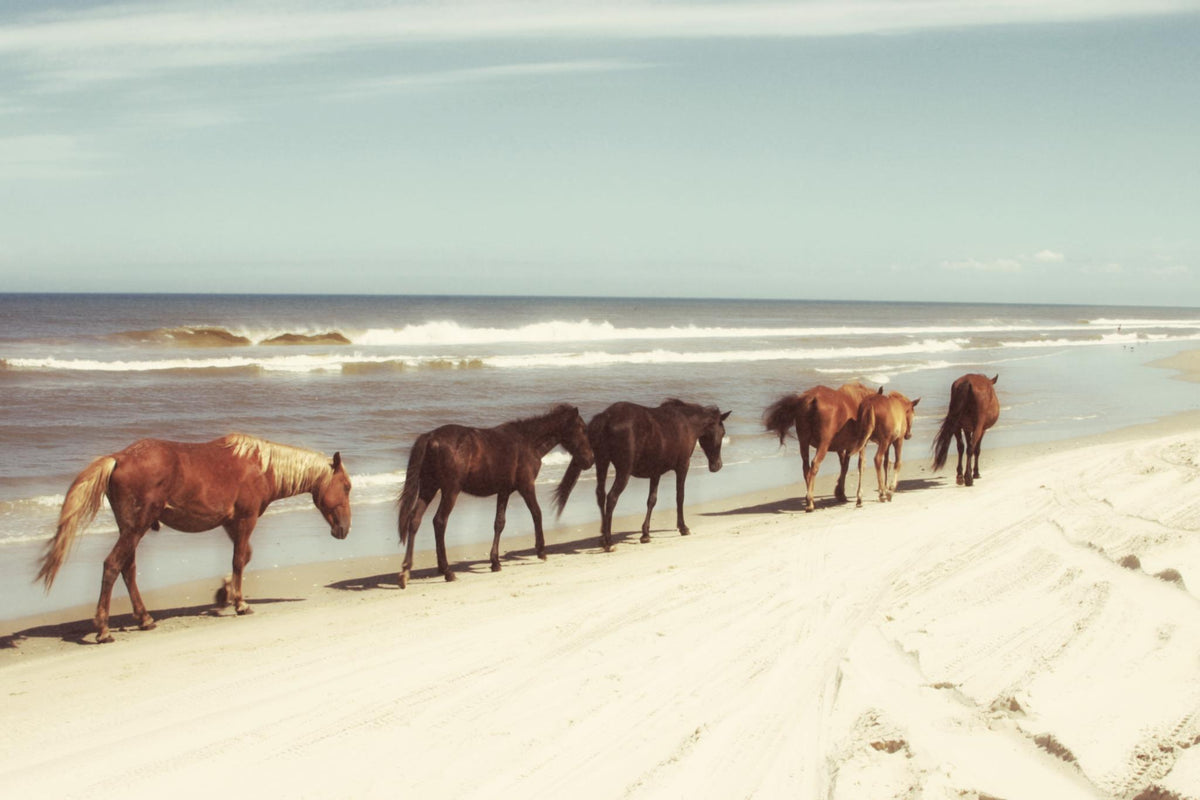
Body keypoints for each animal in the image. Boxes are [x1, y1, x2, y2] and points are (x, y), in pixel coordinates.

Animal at [37, 434, 352, 644]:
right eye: (346, 486)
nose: (345, 529)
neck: (262, 467)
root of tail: (119, 458)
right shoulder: (245, 520)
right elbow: (240, 560)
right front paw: (239, 603)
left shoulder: (231, 523)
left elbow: (243, 558)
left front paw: (224, 593)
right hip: (135, 528)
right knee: (113, 566)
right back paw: (103, 629)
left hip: (130, 529)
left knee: (127, 569)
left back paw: (145, 619)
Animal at [395, 404, 594, 588]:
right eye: (583, 429)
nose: (590, 460)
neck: (527, 441)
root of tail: (431, 437)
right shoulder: (526, 486)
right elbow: (537, 513)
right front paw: (541, 551)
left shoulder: (504, 491)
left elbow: (499, 523)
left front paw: (495, 562)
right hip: (450, 491)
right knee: (439, 522)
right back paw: (447, 571)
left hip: (429, 488)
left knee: (415, 520)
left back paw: (406, 571)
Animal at [553, 400, 731, 552]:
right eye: (722, 433)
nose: (717, 466)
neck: (686, 423)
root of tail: (606, 417)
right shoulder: (682, 467)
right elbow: (680, 497)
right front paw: (683, 527)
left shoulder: (655, 472)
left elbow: (651, 500)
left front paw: (645, 534)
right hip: (623, 471)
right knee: (611, 498)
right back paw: (609, 542)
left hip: (602, 463)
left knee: (600, 495)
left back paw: (603, 536)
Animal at [763, 382, 874, 512]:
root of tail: (812, 398)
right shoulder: (860, 445)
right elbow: (860, 465)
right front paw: (858, 497)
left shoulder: (842, 448)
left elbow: (844, 466)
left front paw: (840, 492)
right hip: (823, 444)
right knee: (815, 464)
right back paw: (810, 501)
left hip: (804, 442)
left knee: (806, 467)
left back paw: (809, 497)